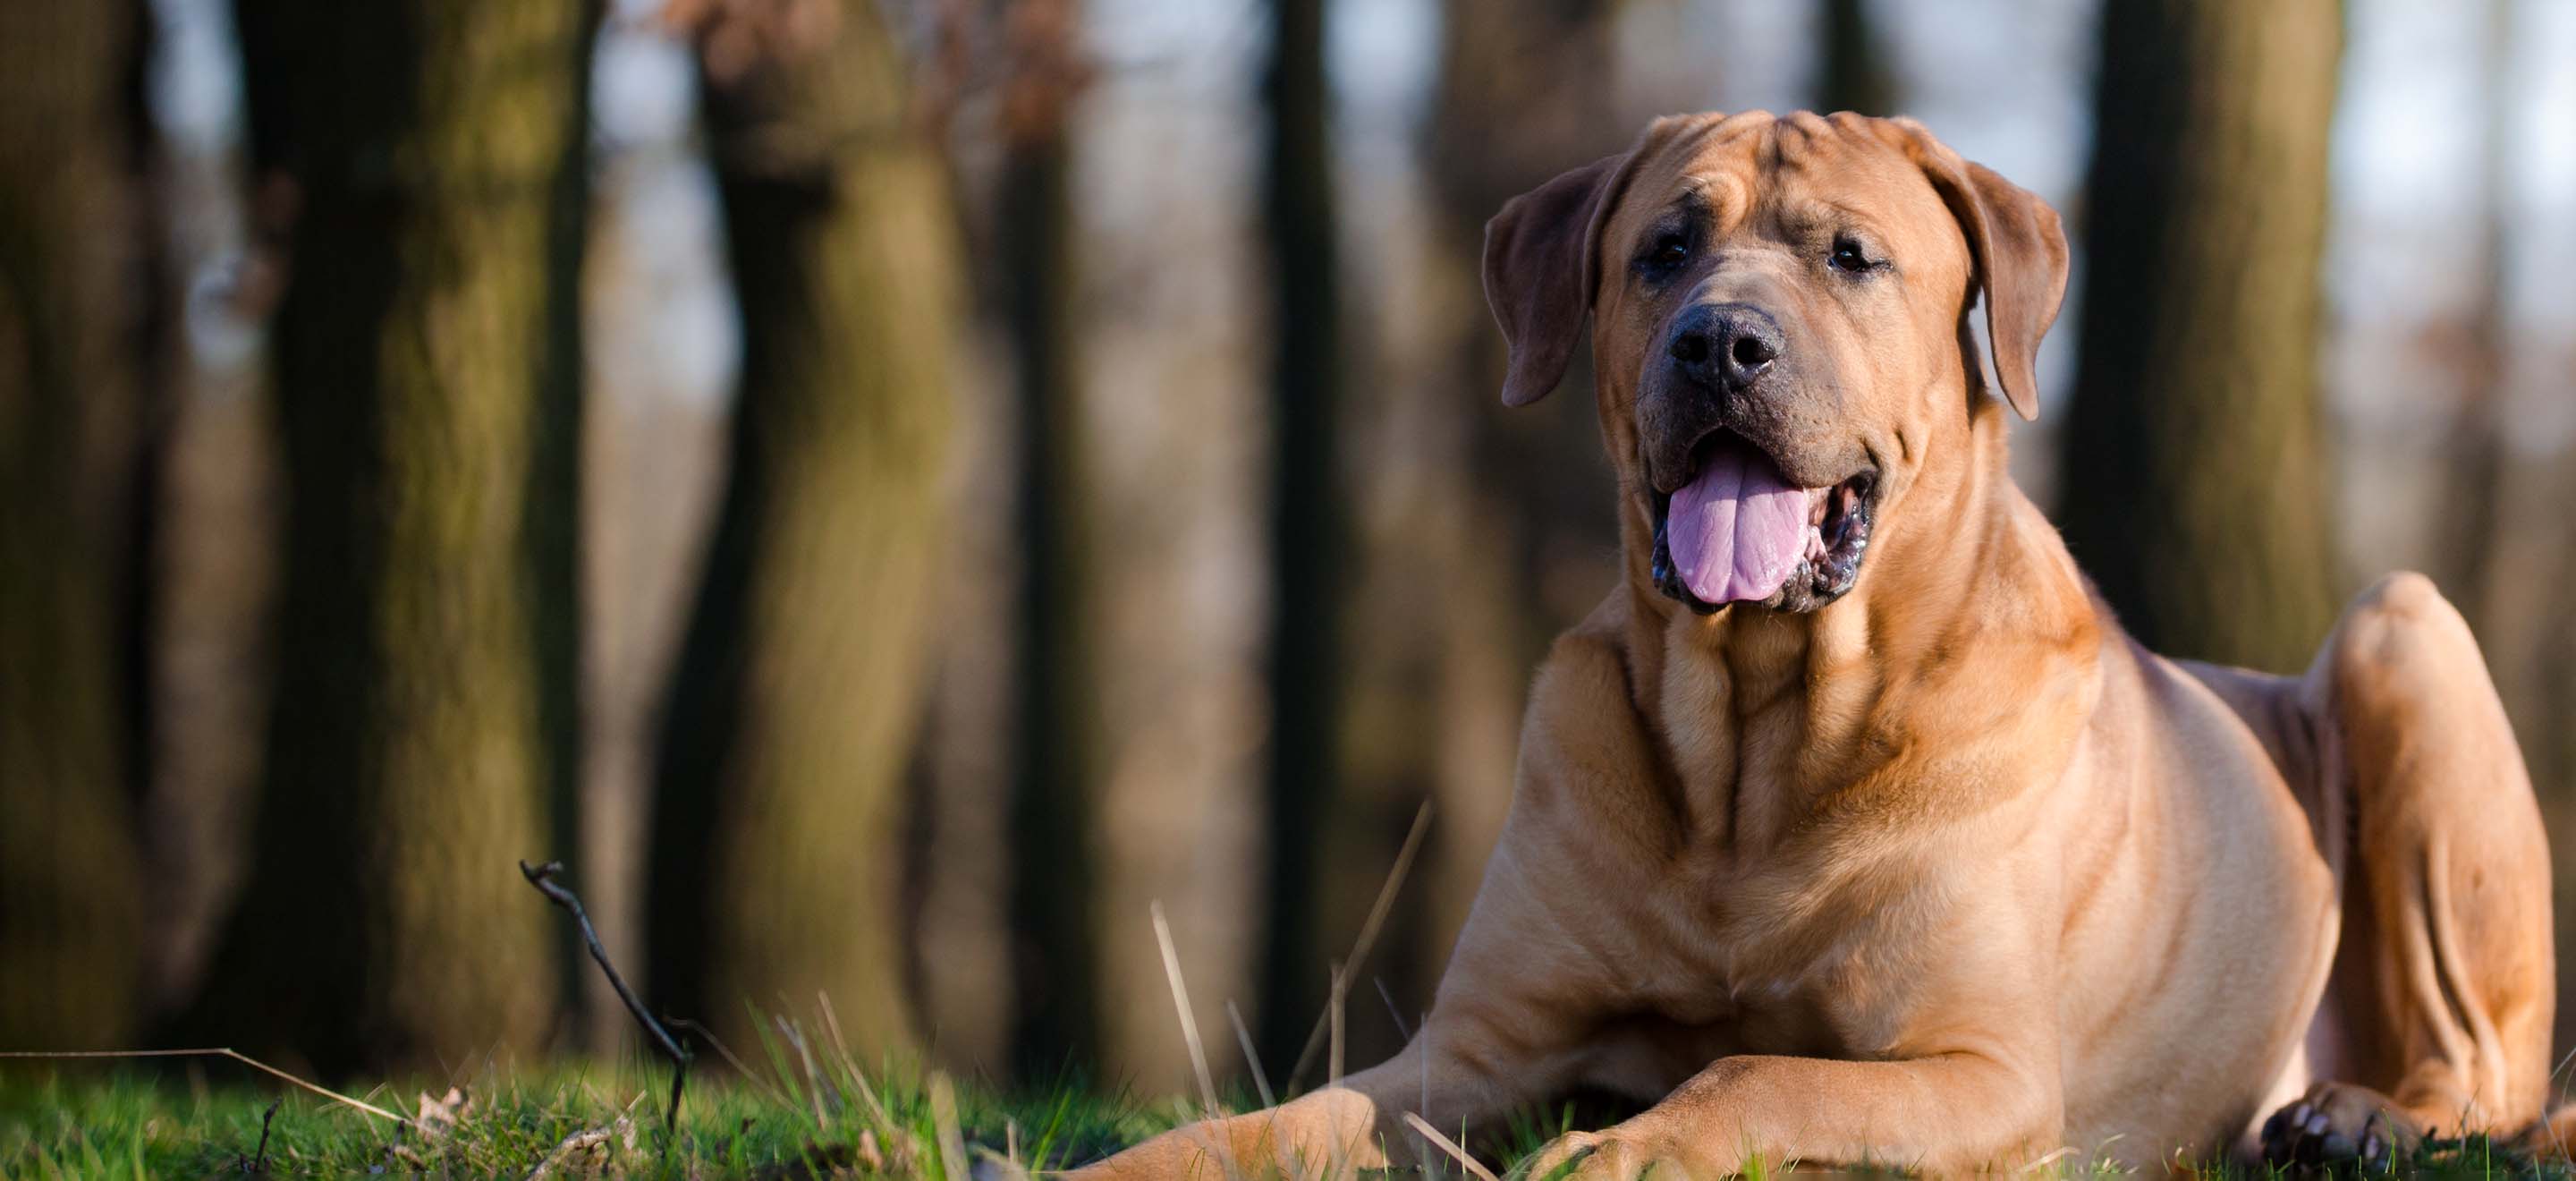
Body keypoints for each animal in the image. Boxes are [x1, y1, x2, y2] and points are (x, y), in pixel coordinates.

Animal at [1072, 108, 2555, 1170]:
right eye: (1664, 249)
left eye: (1852, 256)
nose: (1721, 344)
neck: (1754, 752)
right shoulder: (1475, 1051)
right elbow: (1275, 1124)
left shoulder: (1980, 1068)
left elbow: (1756, 1070)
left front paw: (1616, 1154)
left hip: (2404, 631)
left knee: (2486, 1074)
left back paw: (2360, 1120)